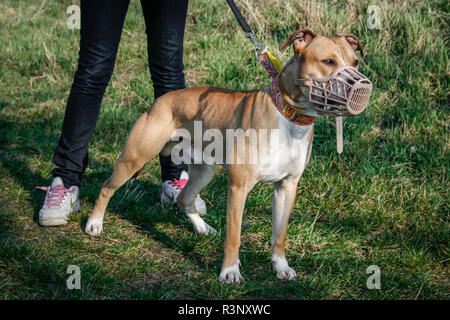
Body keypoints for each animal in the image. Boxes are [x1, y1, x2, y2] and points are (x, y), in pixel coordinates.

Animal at [83, 28, 370, 282]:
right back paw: (95, 223)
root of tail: (160, 100)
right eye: (328, 61)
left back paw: (202, 228)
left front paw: (280, 267)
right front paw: (230, 272)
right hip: (135, 158)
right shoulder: (238, 188)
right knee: (107, 187)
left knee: (185, 198)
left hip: (204, 170)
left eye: (355, 62)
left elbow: (280, 235)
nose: (362, 86)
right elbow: (234, 236)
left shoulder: (287, 186)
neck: (288, 116)